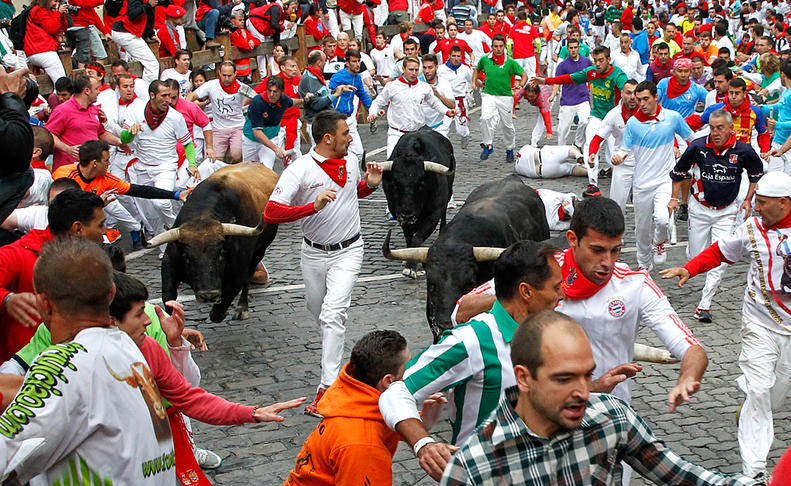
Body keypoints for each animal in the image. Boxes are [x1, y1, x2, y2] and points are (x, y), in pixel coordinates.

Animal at [147, 163, 280, 322]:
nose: (208, 295)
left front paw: (225, 312)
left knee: (249, 276)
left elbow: (218, 310)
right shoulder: (169, 264)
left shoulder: (238, 273)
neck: (203, 215)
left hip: (259, 251)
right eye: (186, 257)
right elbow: (168, 297)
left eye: (221, 254)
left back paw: (242, 308)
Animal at [380, 128, 454, 278]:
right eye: (395, 184)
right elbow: (409, 237)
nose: (407, 214)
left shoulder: (433, 213)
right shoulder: (399, 215)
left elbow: (417, 238)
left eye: (421, 183)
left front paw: (411, 268)